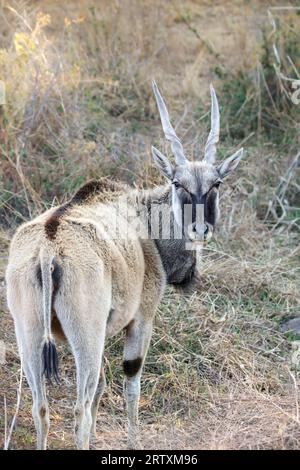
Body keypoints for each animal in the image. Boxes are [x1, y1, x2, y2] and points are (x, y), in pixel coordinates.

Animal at [4, 82, 244, 450]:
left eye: (215, 184)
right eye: (178, 183)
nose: (200, 229)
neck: (142, 215)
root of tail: (48, 248)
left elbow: (101, 387)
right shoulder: (142, 319)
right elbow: (131, 384)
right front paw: (134, 443)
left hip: (29, 336)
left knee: (41, 407)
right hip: (84, 338)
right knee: (80, 409)